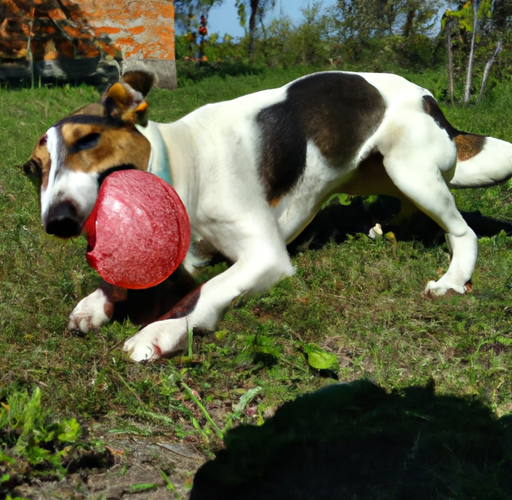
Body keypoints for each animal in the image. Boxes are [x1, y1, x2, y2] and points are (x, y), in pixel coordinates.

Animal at [23, 69, 512, 360]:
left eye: (88, 140)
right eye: (32, 170)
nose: (57, 221)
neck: (183, 165)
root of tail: (428, 97)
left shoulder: (265, 258)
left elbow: (205, 292)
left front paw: (159, 331)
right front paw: (96, 302)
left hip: (411, 170)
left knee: (461, 231)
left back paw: (453, 279)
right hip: (378, 170)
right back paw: (385, 227)